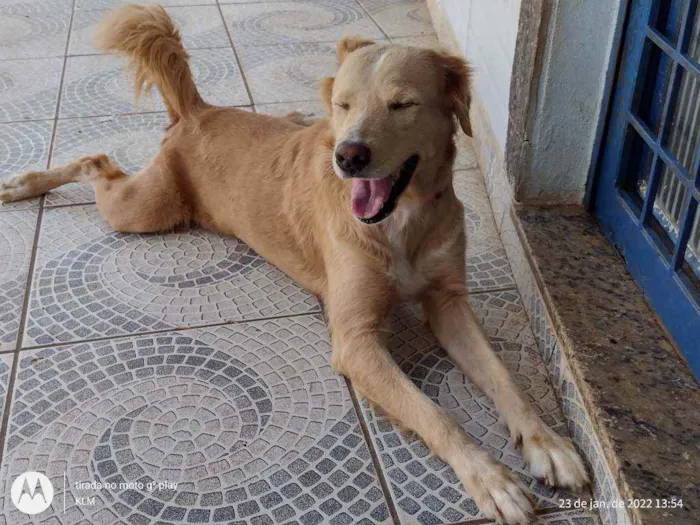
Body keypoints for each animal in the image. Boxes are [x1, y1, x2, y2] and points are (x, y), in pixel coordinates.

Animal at [0, 4, 588, 520]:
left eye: (402, 104)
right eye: (347, 104)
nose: (347, 155)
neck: (404, 221)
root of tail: (198, 111)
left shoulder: (449, 303)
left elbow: (504, 378)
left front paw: (547, 442)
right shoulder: (355, 341)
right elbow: (436, 414)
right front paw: (490, 478)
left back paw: (298, 113)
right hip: (141, 210)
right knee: (95, 161)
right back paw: (27, 182)